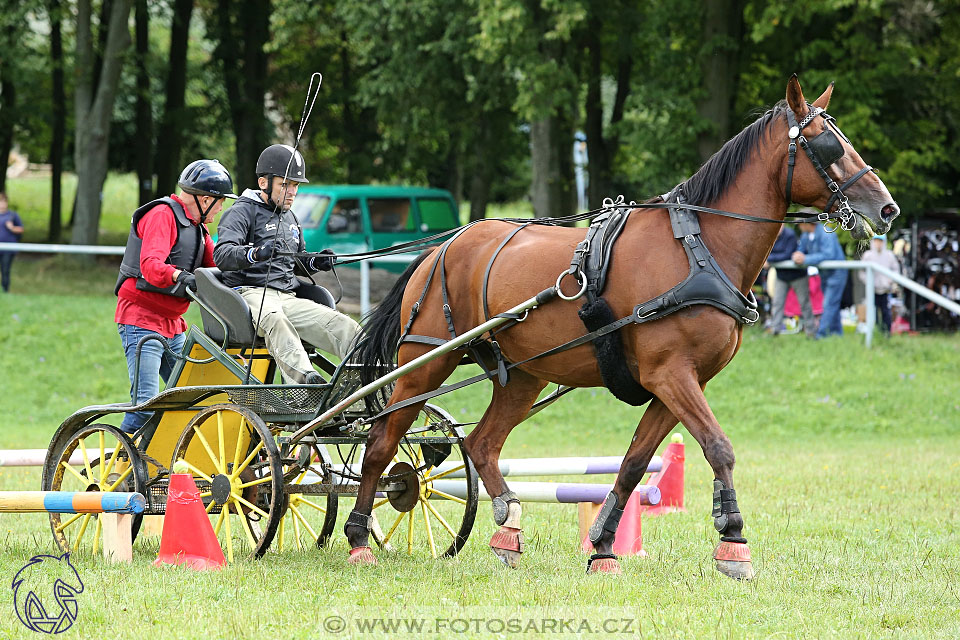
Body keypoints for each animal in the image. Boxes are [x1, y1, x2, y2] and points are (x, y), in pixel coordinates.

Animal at [344, 77, 900, 576]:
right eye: (828, 146)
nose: (887, 208)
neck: (698, 249)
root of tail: (441, 247)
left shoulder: (678, 383)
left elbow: (634, 464)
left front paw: (604, 547)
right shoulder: (670, 374)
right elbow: (718, 447)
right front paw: (733, 542)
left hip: (523, 375)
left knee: (482, 443)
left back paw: (508, 529)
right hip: (424, 363)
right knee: (380, 443)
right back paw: (357, 538)